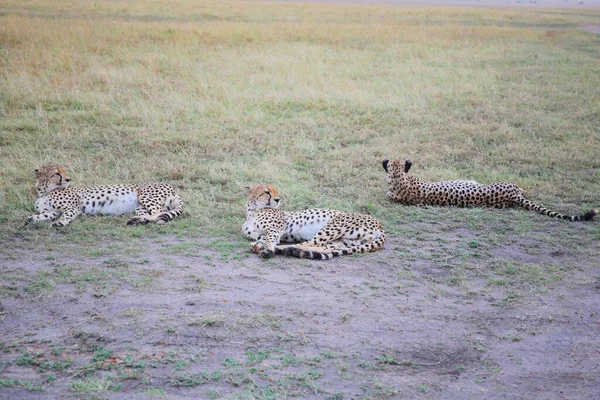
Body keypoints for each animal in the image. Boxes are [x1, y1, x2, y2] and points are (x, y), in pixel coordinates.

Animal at [25, 163, 184, 227]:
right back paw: (137, 220)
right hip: (140, 206)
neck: (45, 191)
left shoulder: (72, 208)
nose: (68, 179)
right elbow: (43, 215)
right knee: (153, 214)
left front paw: (59, 222)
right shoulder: (51, 212)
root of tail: (173, 189)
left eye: (63, 171)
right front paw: (30, 219)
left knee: (159, 213)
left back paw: (138, 220)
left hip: (145, 196)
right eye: (57, 173)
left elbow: (66, 216)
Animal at [240, 184, 384, 260]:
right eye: (267, 192)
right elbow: (262, 240)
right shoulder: (264, 233)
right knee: (324, 247)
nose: (277, 199)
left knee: (309, 243)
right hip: (346, 241)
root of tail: (380, 225)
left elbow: (270, 240)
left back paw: (284, 249)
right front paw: (258, 246)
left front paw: (268, 249)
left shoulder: (275, 229)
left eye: (275, 191)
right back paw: (291, 251)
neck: (253, 211)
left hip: (332, 226)